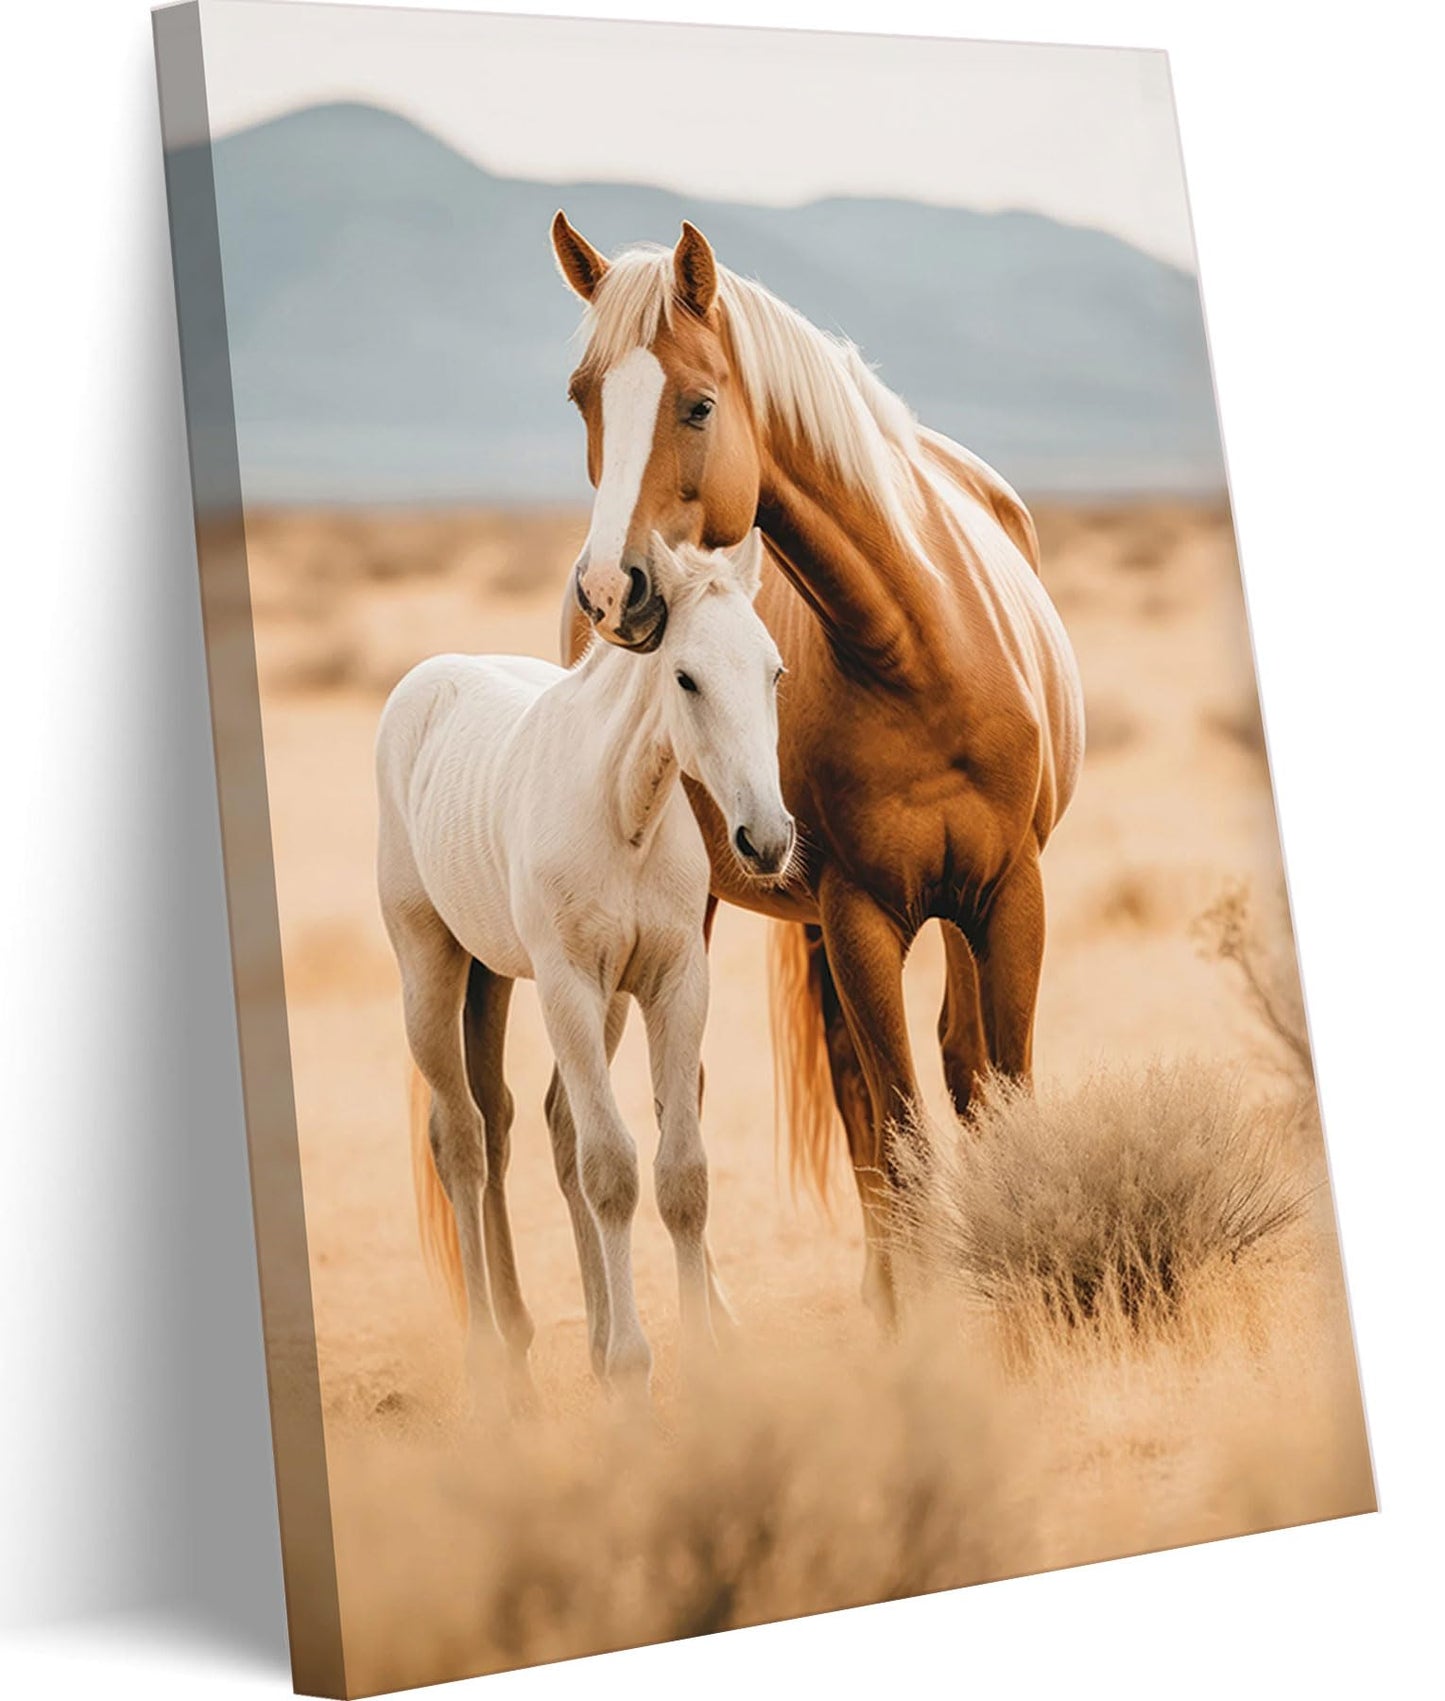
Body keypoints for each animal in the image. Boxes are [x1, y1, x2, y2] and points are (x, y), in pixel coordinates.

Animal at [377, 531, 791, 1400]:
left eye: (774, 671)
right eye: (685, 676)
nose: (767, 839)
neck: (623, 815)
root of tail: (428, 679)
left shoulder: (672, 984)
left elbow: (678, 1173)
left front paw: (694, 1361)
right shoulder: (568, 986)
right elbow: (611, 1170)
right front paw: (633, 1369)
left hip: (507, 981)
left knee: (520, 1125)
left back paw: (540, 1344)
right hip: (431, 968)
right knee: (461, 1138)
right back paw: (491, 1365)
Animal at [550, 213, 1086, 1324]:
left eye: (698, 403)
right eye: (584, 397)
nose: (611, 592)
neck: (916, 647)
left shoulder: (1009, 894)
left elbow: (990, 1091)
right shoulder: (858, 915)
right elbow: (900, 1126)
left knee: (917, 1077)